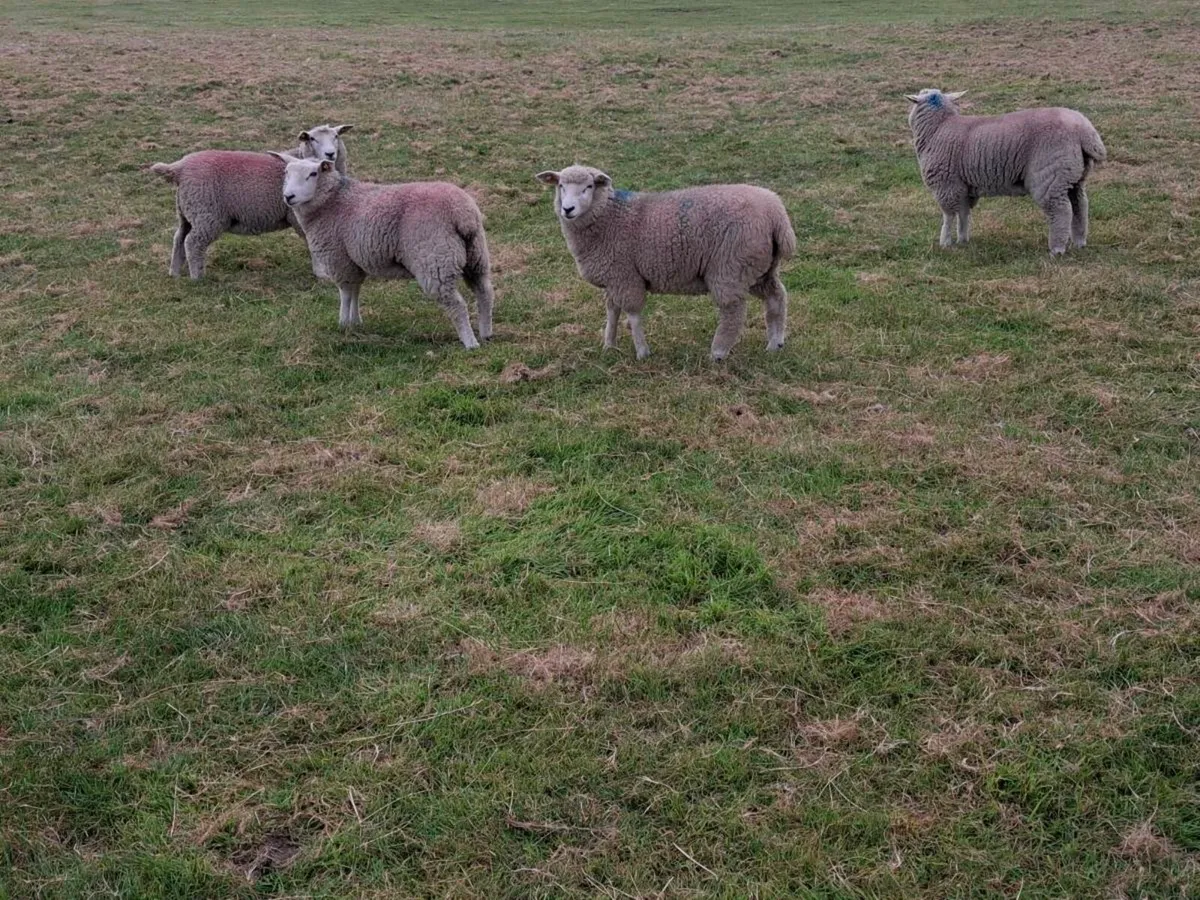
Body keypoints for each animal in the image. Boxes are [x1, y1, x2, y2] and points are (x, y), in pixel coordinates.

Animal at [148, 123, 353, 279]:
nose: (330, 154)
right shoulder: (298, 216)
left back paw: (174, 273)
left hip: (187, 212)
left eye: (336, 136)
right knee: (192, 242)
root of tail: (179, 168)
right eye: (312, 139)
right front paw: (322, 275)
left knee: (179, 238)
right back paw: (197, 277)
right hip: (206, 214)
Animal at [269, 153, 494, 348]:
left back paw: (470, 342)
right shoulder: (354, 262)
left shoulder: (339, 259)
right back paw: (486, 333)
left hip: (435, 259)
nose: (288, 196)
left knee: (457, 304)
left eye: (313, 174)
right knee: (485, 292)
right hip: (476, 256)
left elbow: (345, 293)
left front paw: (342, 323)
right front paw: (355, 322)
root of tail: (462, 213)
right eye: (286, 173)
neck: (333, 202)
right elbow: (355, 291)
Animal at [534, 165, 795, 361]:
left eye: (588, 187)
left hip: (731, 266)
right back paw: (775, 344)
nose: (568, 209)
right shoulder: (613, 278)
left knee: (733, 311)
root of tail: (777, 214)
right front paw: (609, 345)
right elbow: (612, 311)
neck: (610, 217)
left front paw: (642, 352)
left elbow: (633, 314)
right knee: (776, 298)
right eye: (560, 186)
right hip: (759, 268)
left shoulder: (625, 276)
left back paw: (718, 353)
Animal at [906, 89, 1106, 255]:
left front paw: (945, 242)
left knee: (1060, 210)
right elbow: (963, 214)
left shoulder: (946, 185)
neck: (938, 127)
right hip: (1073, 176)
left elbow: (948, 216)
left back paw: (1057, 249)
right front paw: (963, 240)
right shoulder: (963, 187)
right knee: (1080, 206)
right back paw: (1079, 242)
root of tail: (1085, 132)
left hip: (1050, 176)